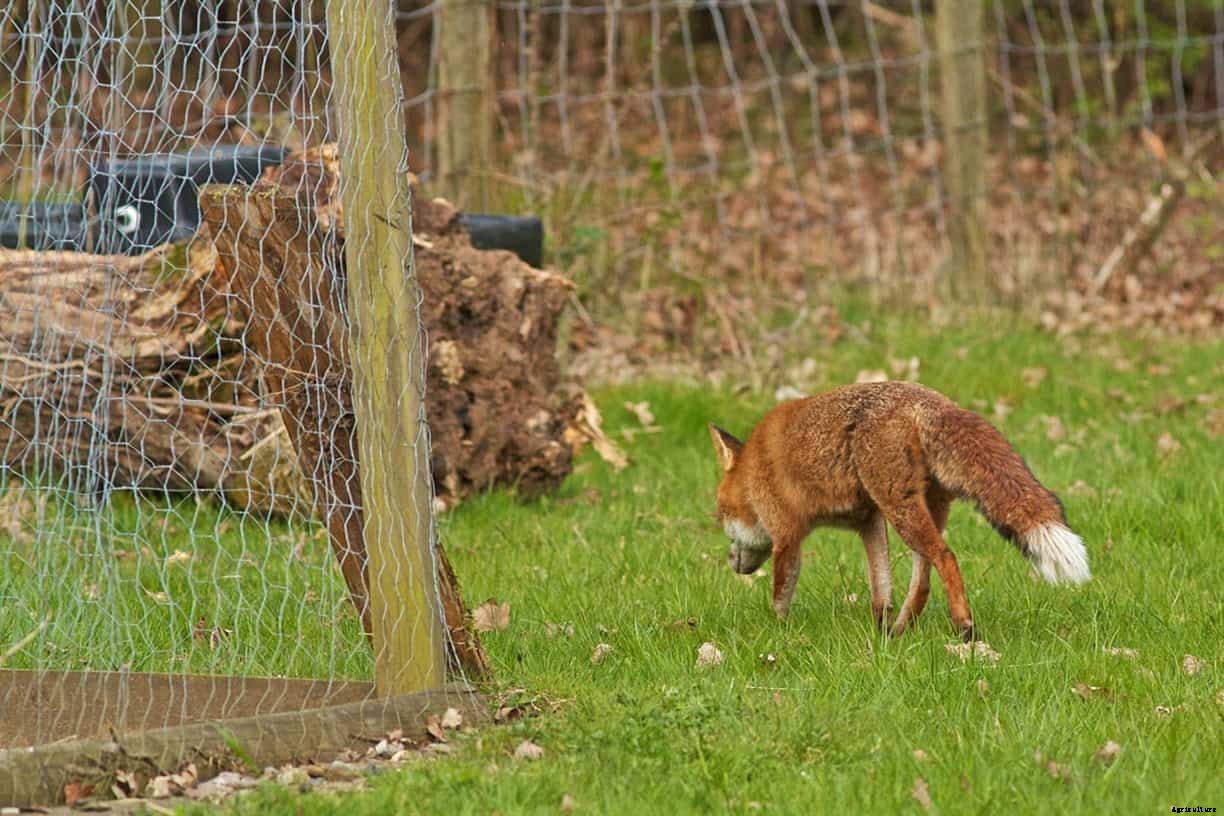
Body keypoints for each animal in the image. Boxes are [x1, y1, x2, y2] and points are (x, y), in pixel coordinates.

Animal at [708, 380, 1089, 641]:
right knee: (922, 580)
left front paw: (778, 633)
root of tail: (930, 400)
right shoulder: (869, 521)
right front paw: (879, 631)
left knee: (945, 557)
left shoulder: (786, 534)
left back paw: (964, 627)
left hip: (900, 509)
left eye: (721, 516)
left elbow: (781, 594)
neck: (753, 472)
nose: (731, 563)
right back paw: (900, 631)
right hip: (920, 511)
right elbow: (881, 590)